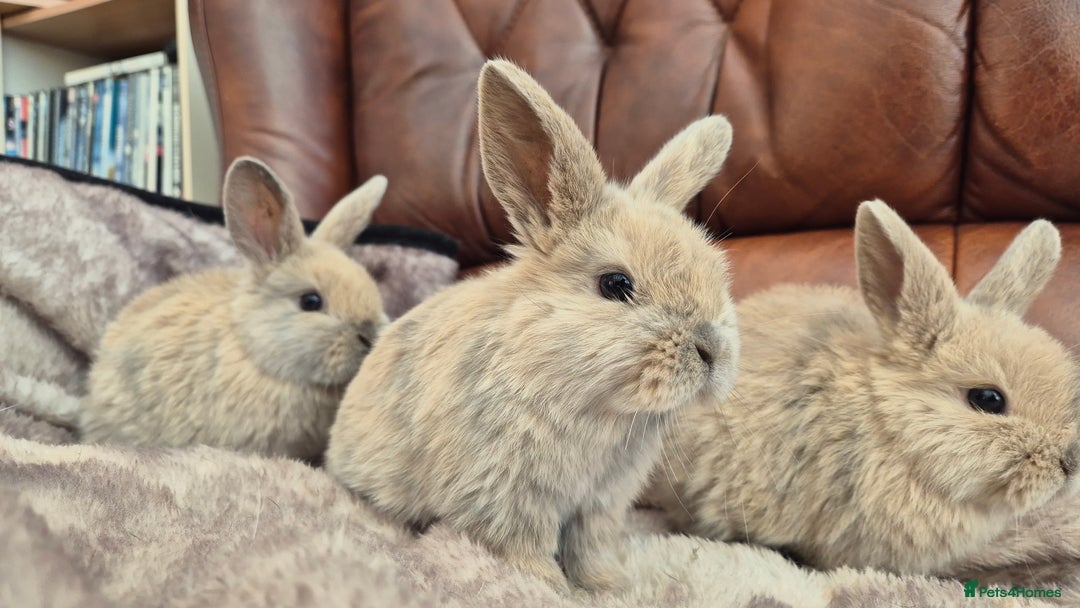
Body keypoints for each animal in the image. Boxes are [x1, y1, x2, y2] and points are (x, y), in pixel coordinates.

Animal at [324, 60, 740, 593]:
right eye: (616, 284)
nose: (713, 350)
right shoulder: (510, 495)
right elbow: (527, 548)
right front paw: (550, 587)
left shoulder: (599, 505)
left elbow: (591, 547)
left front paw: (610, 585)